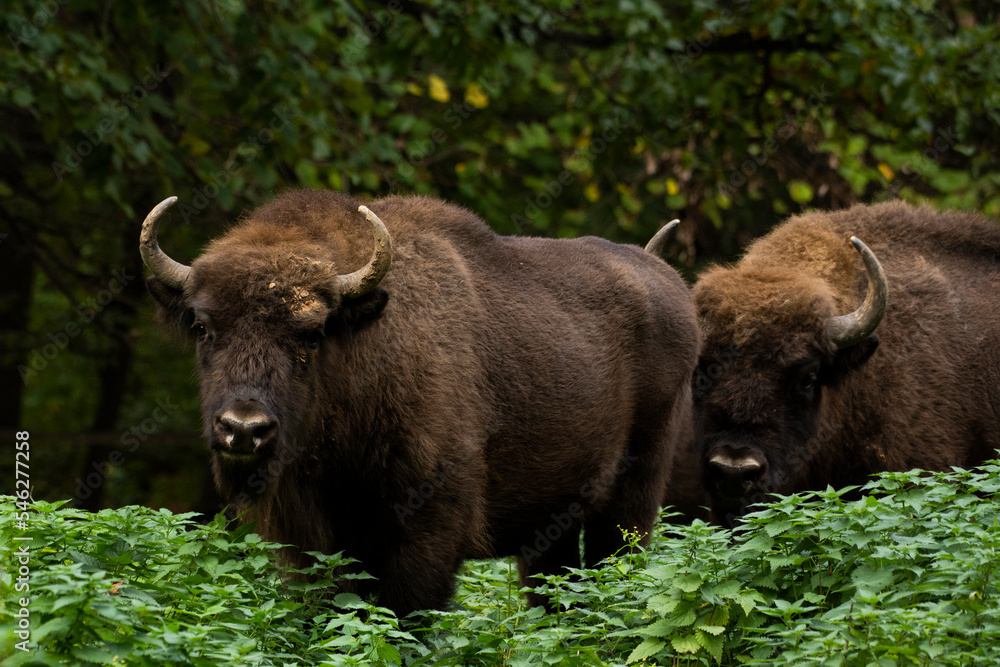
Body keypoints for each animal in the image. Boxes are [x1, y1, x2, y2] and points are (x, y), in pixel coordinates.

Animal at [141, 188, 700, 616]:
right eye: (202, 326)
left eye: (314, 334)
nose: (243, 429)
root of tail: (668, 281)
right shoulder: (308, 540)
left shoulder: (428, 531)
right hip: (552, 522)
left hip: (632, 499)